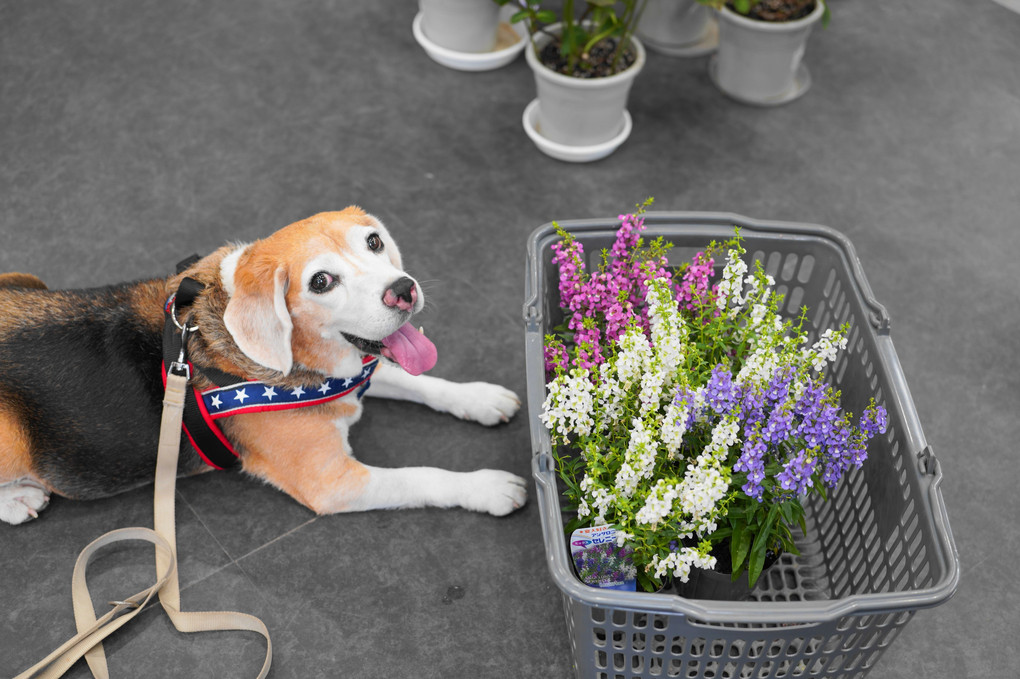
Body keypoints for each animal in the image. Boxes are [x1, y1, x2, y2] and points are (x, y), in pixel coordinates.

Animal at [0, 205, 526, 521]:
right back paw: (19, 499)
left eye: (374, 243)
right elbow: (423, 476)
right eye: (321, 282)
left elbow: (419, 381)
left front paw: (478, 397)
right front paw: (488, 488)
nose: (403, 289)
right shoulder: (333, 483)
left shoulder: (352, 371)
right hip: (11, 434)